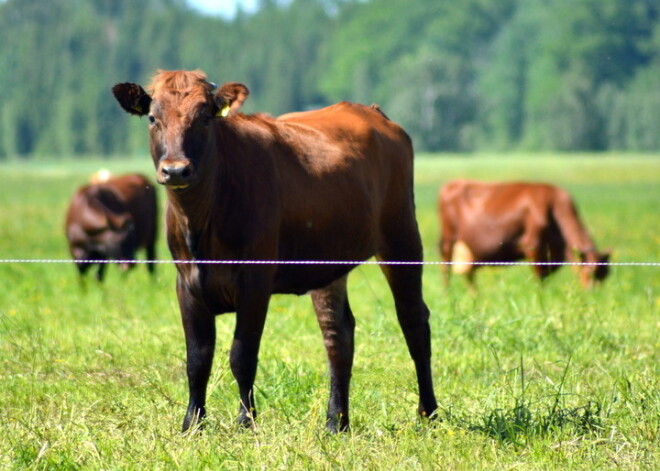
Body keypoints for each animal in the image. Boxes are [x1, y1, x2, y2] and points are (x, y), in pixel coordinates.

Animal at [111, 68, 436, 434]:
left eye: (205, 117)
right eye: (153, 117)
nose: (176, 170)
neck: (201, 221)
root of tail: (372, 112)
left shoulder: (255, 280)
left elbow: (241, 355)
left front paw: (245, 422)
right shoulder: (186, 283)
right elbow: (197, 358)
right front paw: (192, 423)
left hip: (401, 235)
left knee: (413, 320)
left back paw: (428, 412)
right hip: (328, 258)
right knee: (338, 334)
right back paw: (336, 422)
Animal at [436, 181, 612, 292]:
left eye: (605, 275)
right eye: (589, 272)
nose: (593, 293)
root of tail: (454, 182)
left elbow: (546, 274)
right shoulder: (533, 245)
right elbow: (540, 277)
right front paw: (541, 298)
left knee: (468, 273)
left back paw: (475, 296)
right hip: (448, 239)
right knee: (446, 268)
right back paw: (448, 294)